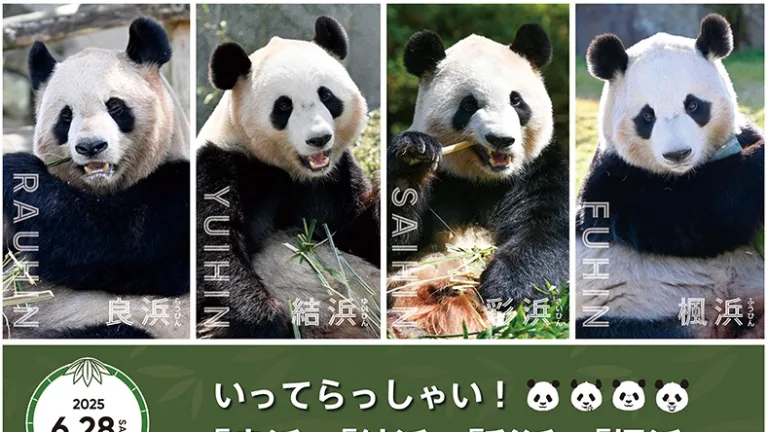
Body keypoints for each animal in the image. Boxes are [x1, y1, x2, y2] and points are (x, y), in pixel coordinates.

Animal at [2, 17, 190, 338]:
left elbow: (111, 239)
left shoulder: (177, 197)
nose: (91, 147)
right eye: (66, 116)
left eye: (115, 106)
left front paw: (15, 169)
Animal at [196, 16, 380, 339]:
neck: (288, 170)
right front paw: (267, 321)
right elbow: (212, 248)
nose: (319, 139)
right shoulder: (219, 168)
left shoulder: (336, 179)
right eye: (283, 106)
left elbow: (361, 230)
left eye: (326, 95)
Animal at [387, 24, 569, 337]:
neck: (484, 180)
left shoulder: (540, 170)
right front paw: (412, 158)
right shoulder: (446, 180)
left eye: (516, 100)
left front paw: (504, 288)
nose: (501, 139)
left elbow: (552, 230)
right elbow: (394, 240)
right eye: (469, 105)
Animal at [576, 14, 764, 339]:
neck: (684, 174)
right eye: (647, 116)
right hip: (632, 312)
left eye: (693, 105)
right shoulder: (614, 182)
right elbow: (696, 216)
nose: (678, 153)